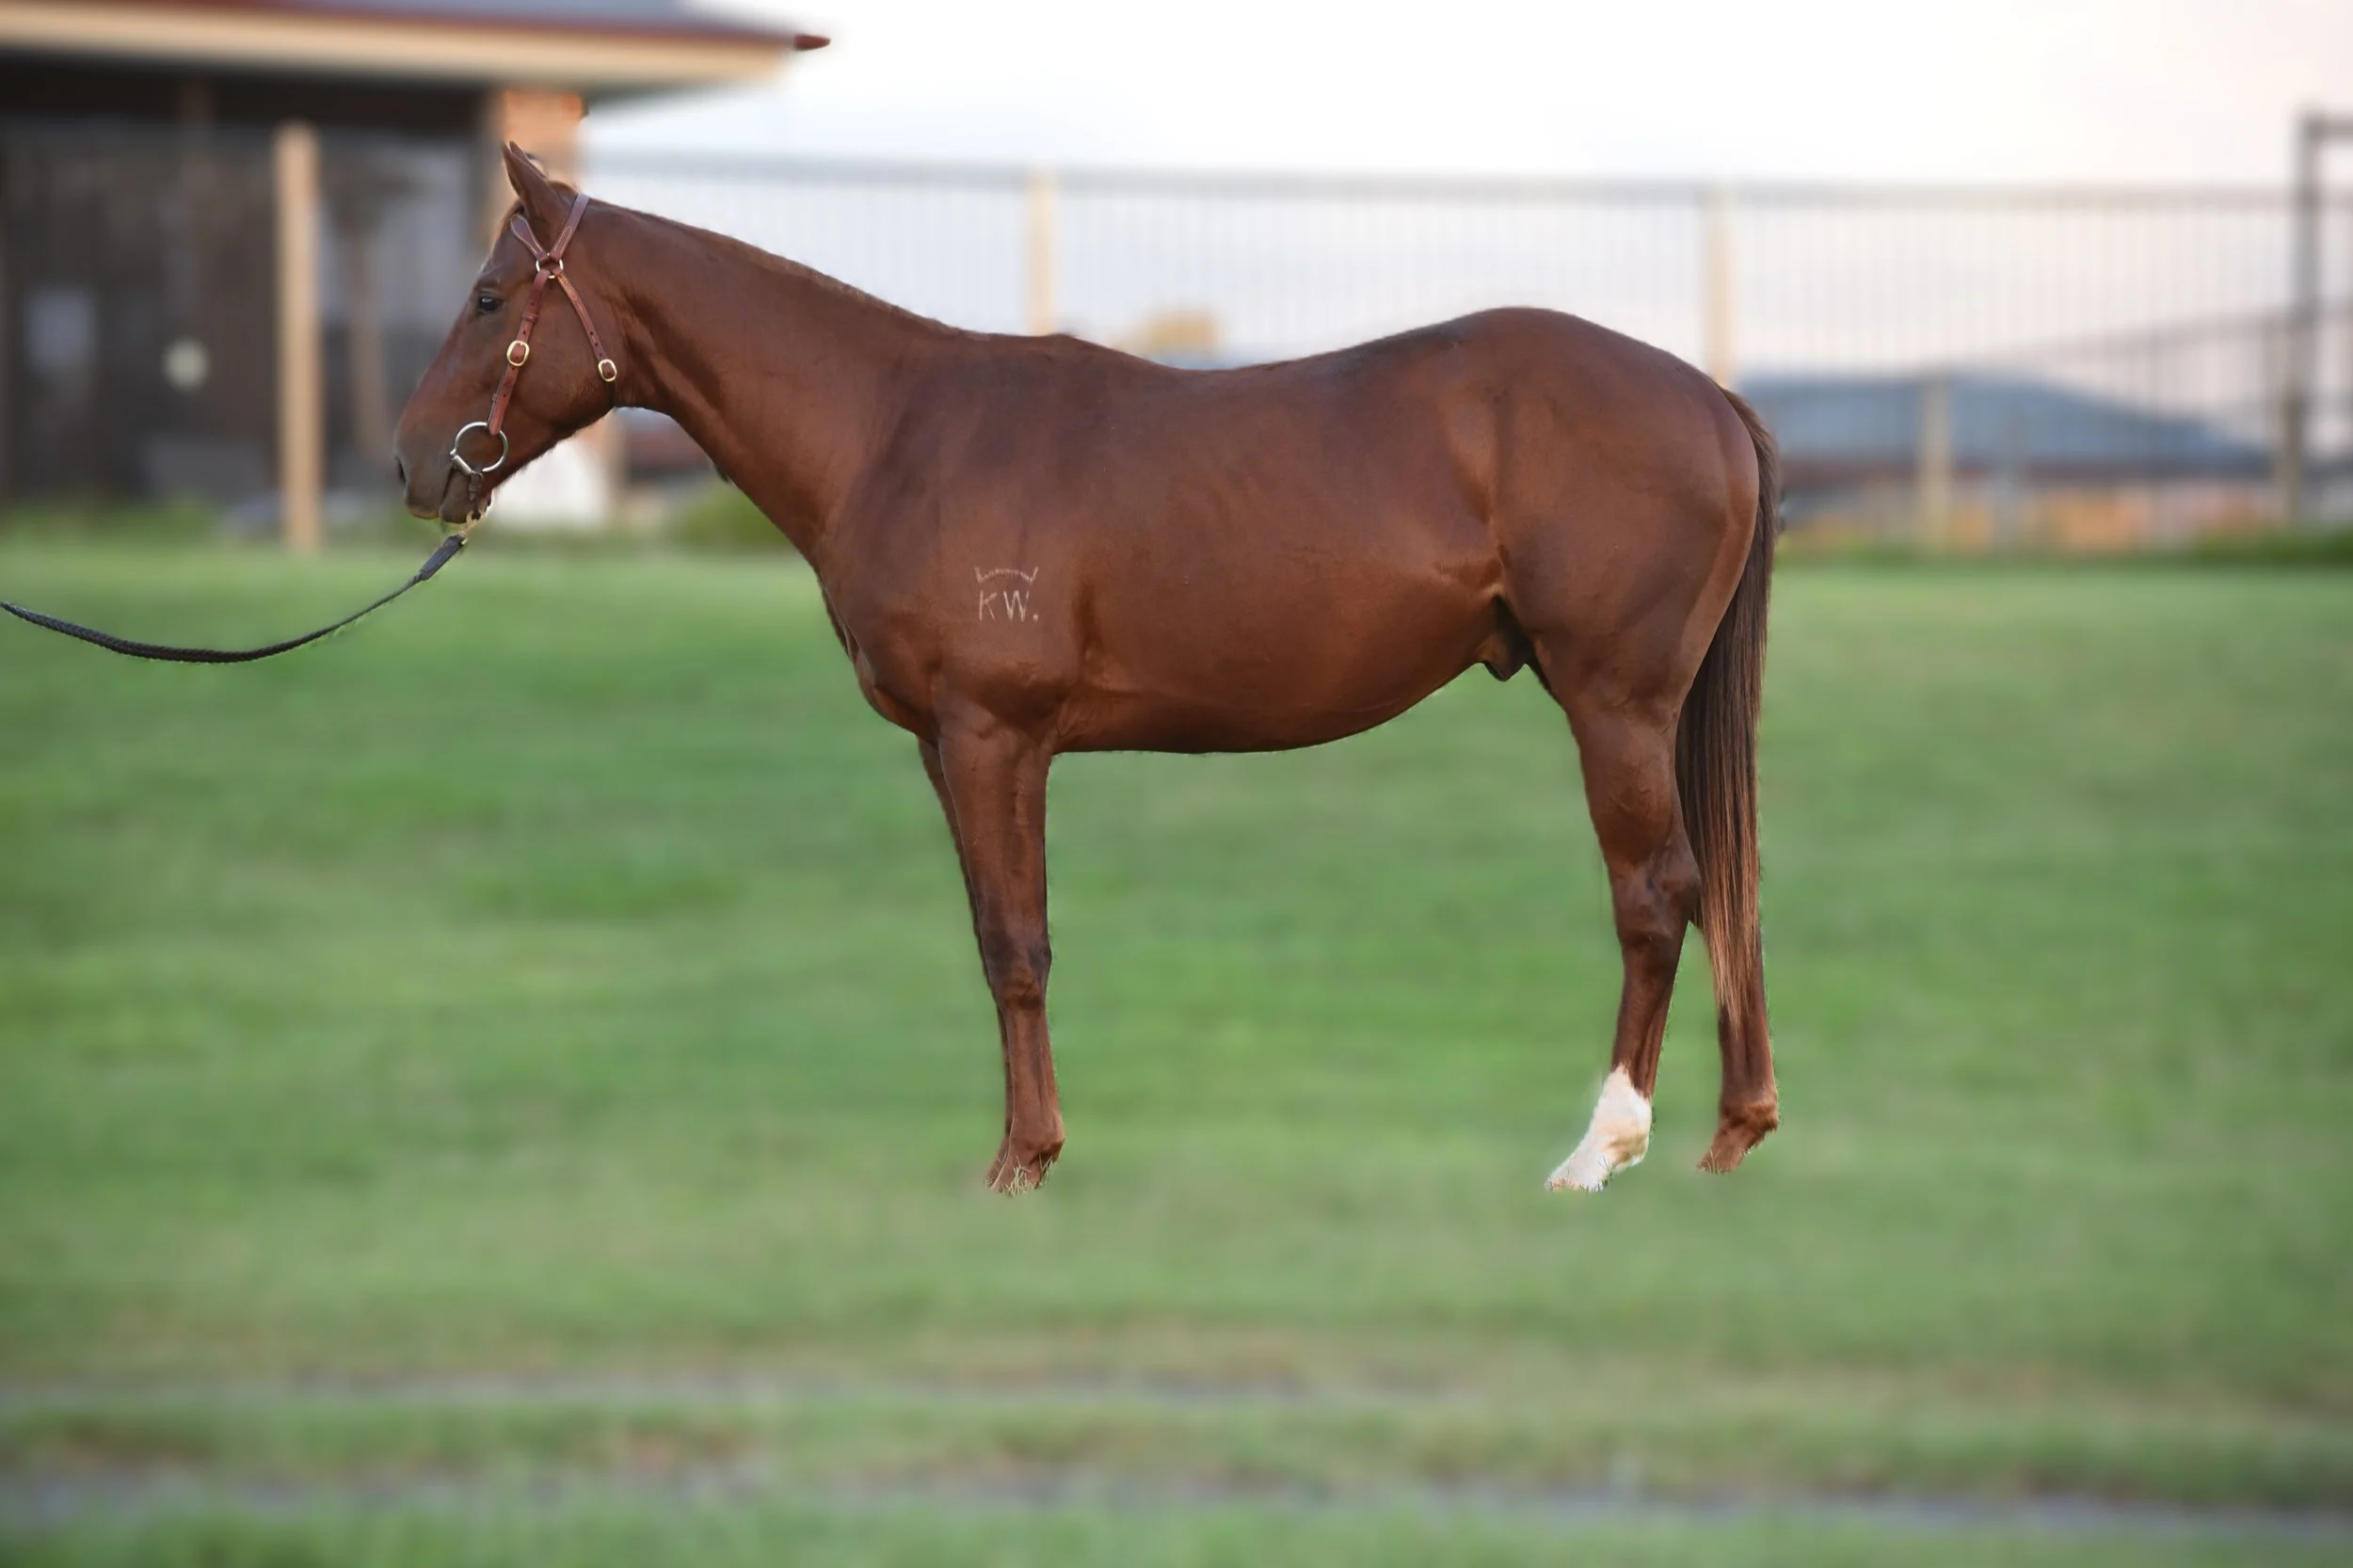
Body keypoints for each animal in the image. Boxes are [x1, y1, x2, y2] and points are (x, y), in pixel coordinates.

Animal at [394, 144, 1782, 1196]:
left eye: (487, 297)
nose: (414, 464)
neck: (897, 432)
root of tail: (1710, 399)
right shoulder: (946, 746)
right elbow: (994, 935)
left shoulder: (993, 734)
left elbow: (1016, 945)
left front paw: (1021, 1164)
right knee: (1723, 886)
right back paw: (1733, 1131)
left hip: (1613, 704)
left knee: (1657, 894)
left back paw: (1600, 1152)